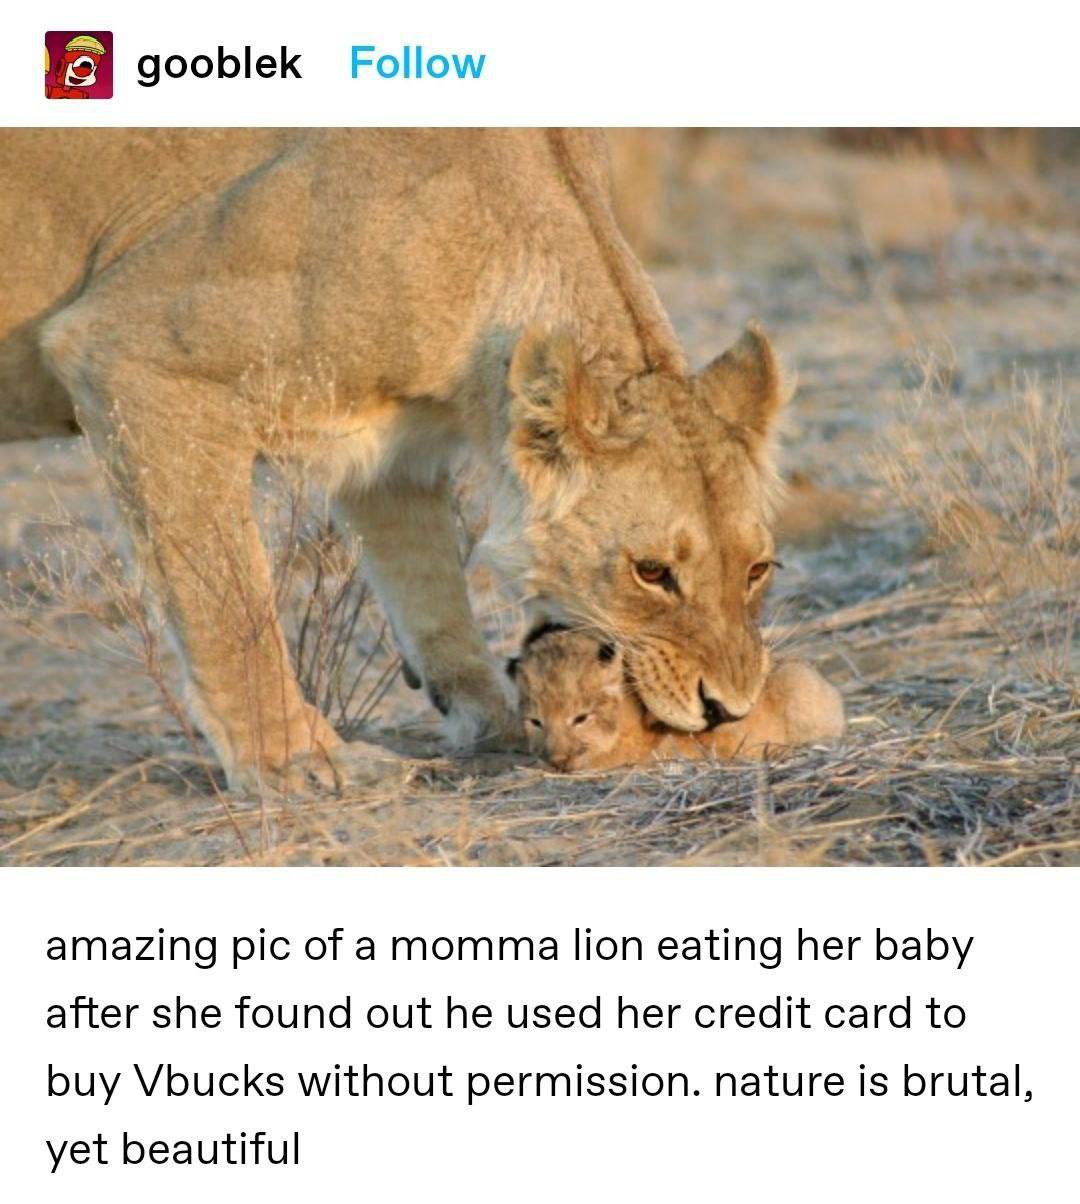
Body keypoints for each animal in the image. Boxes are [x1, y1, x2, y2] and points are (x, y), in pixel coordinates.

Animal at [0, 128, 796, 791]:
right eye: (651, 573)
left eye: (757, 569)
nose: (728, 709)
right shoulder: (134, 357)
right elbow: (227, 603)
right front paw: (298, 766)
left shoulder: (394, 452)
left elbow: (431, 589)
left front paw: (496, 721)